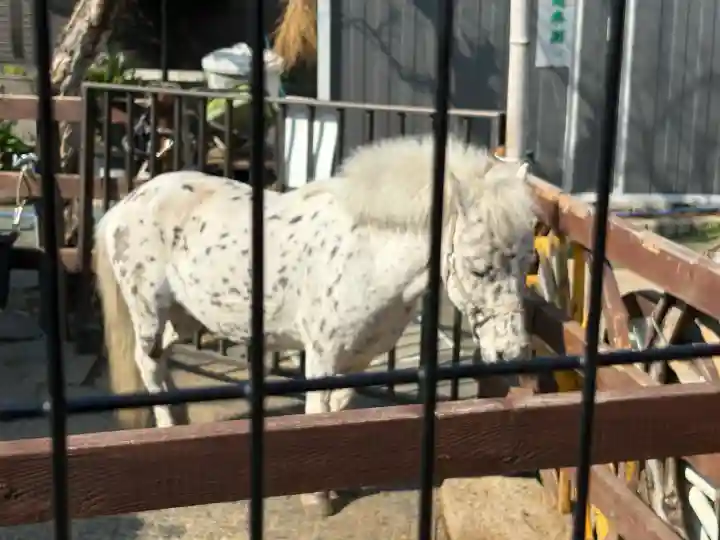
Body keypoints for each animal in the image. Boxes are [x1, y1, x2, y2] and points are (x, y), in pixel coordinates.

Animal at [93, 134, 536, 517]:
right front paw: (317, 499)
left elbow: (337, 409)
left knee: (164, 356)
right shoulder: (321, 355)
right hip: (149, 311)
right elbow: (317, 413)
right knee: (148, 362)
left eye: (528, 262)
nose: (512, 352)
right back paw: (166, 431)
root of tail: (124, 205)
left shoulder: (358, 358)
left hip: (183, 316)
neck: (367, 256)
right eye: (478, 269)